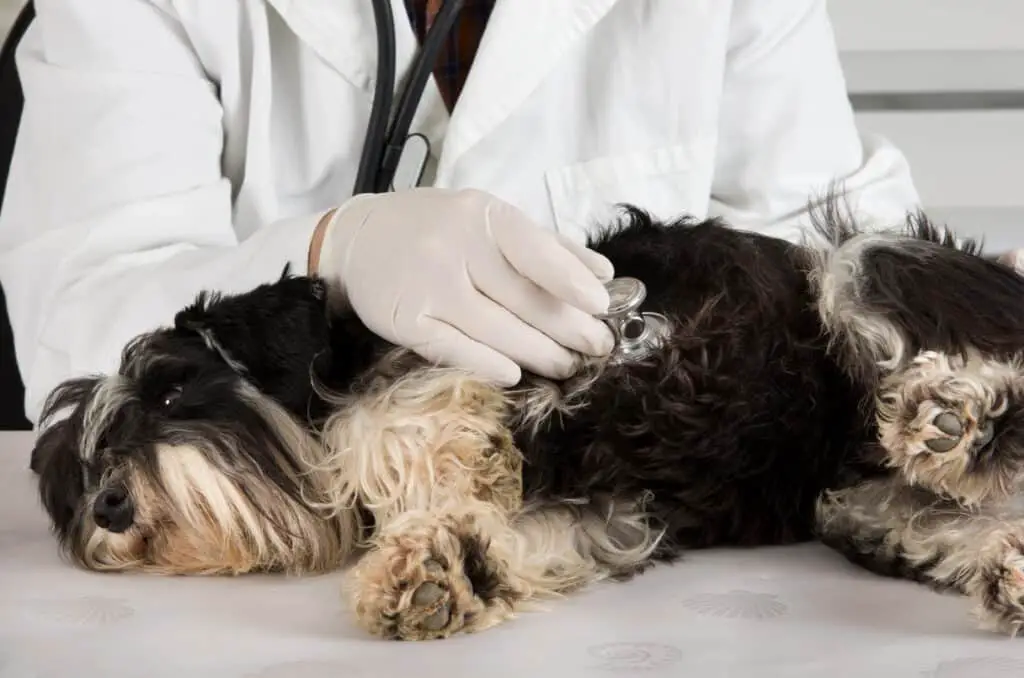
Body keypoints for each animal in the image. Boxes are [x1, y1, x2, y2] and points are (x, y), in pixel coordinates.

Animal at [25, 197, 1024, 643]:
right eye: (79, 474)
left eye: (170, 393)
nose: (110, 506)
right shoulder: (620, 511)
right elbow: (516, 537)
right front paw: (438, 572)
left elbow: (402, 421)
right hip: (852, 505)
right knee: (953, 518)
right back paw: (996, 544)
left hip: (868, 264)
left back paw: (957, 414)